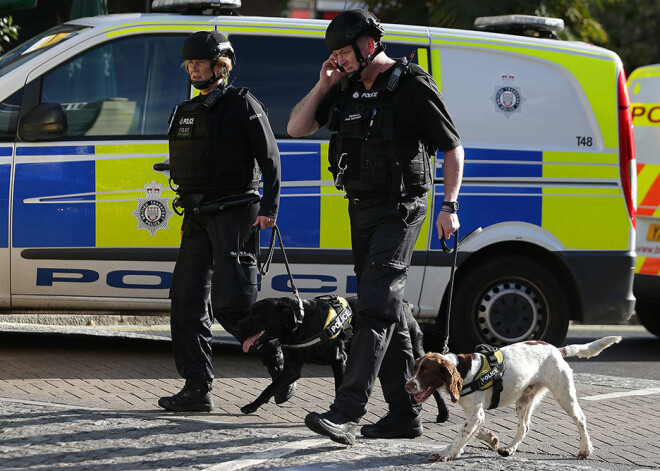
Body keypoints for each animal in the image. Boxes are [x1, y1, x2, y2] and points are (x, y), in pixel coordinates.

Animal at [233, 296, 448, 424]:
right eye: (248, 313)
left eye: (258, 315)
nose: (236, 328)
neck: (303, 323)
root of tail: (405, 305)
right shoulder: (292, 368)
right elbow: (270, 387)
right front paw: (252, 405)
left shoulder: (339, 360)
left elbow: (339, 388)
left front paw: (337, 415)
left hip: (416, 355)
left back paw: (443, 413)